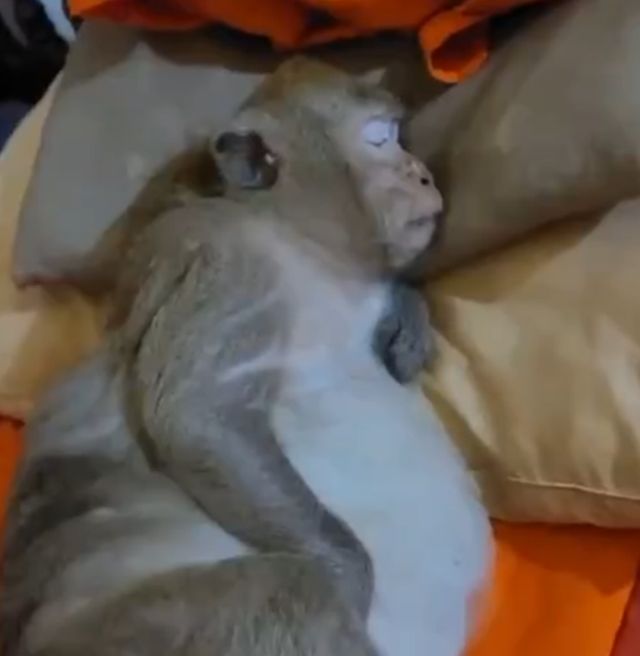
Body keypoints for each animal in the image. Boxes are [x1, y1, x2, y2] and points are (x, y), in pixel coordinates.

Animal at [0, 58, 491, 656]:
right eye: (380, 138)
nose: (422, 175)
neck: (298, 241)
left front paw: (407, 315)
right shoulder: (226, 256)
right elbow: (194, 417)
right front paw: (346, 577)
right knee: (293, 589)